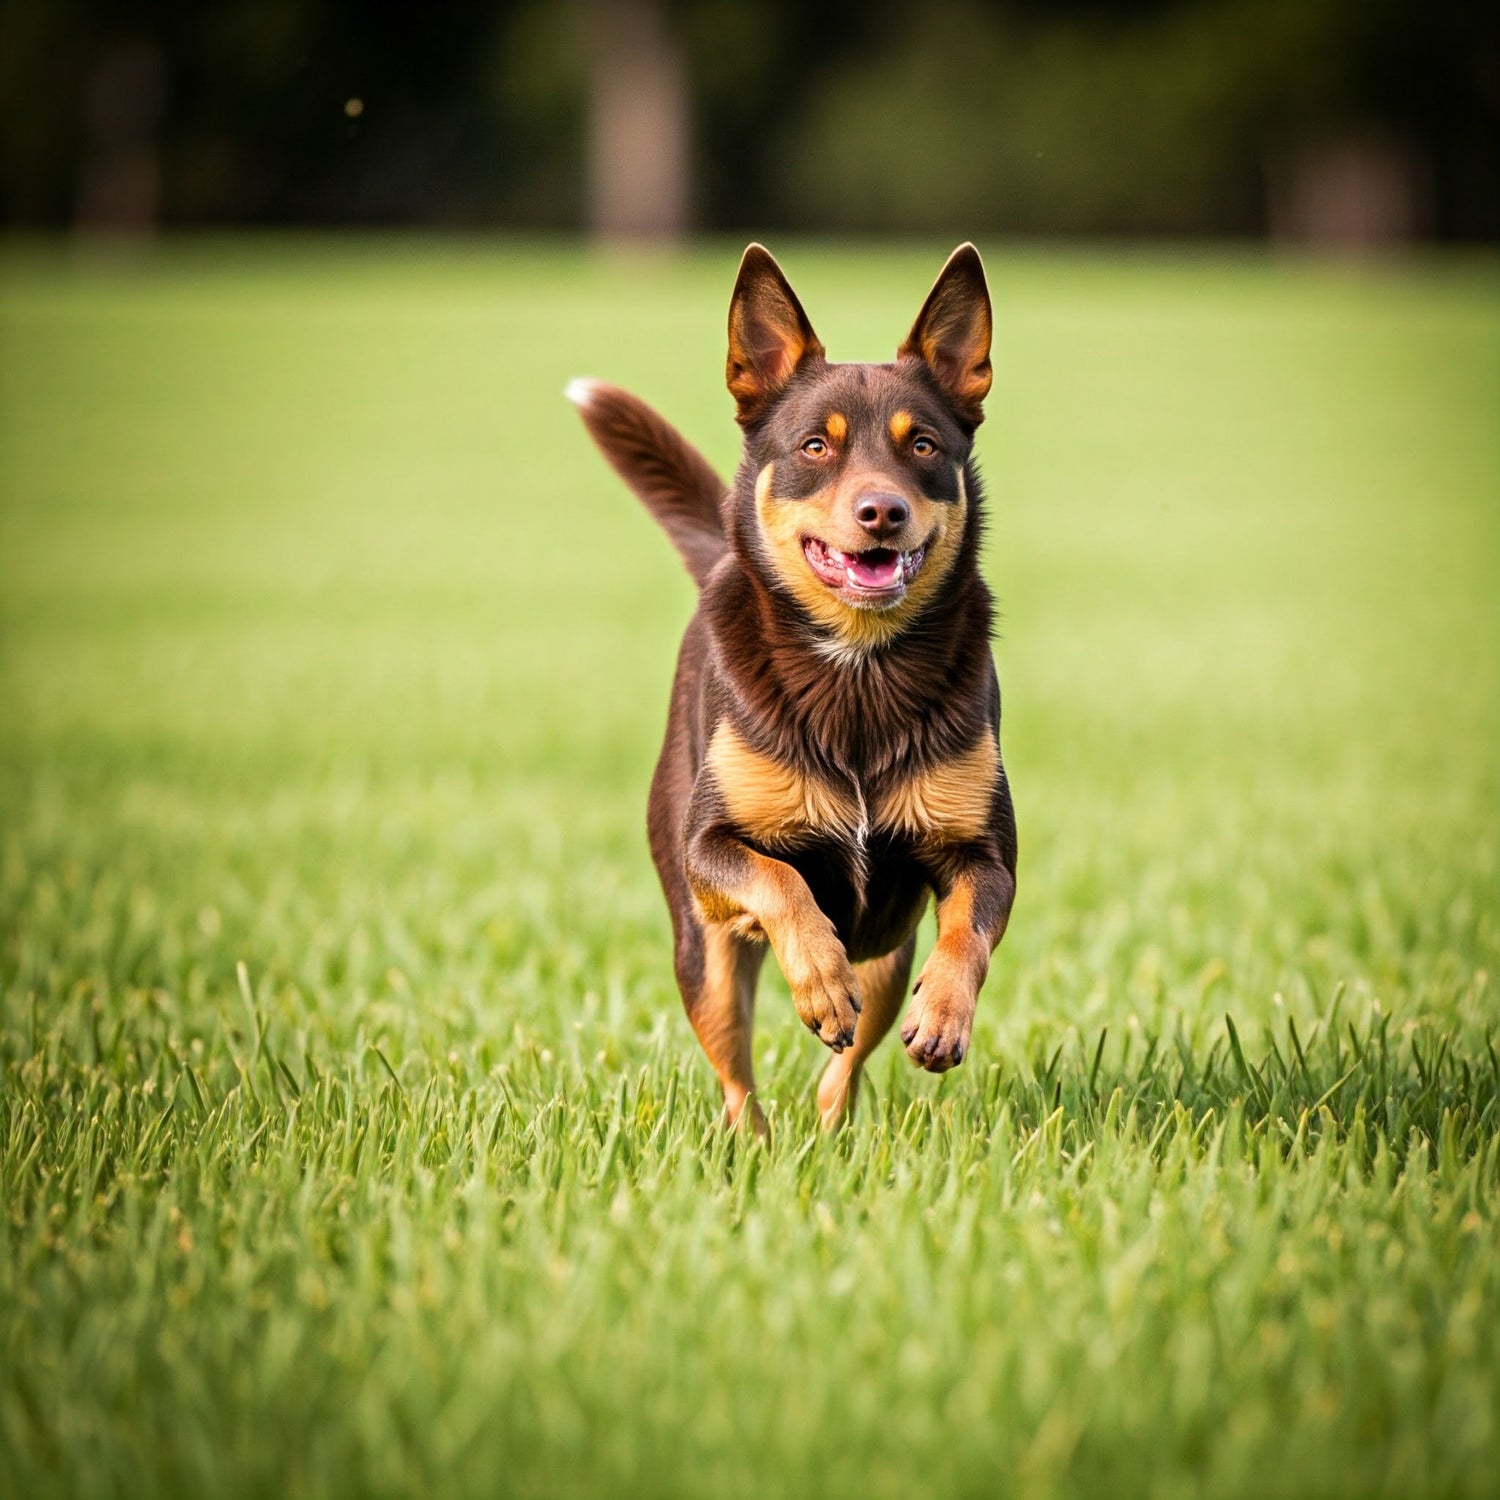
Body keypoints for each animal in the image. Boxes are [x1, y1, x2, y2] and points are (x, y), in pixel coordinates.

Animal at [567, 246, 1014, 1128]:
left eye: (924, 446)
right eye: (814, 446)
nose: (882, 511)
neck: (859, 668)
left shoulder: (984, 851)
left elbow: (969, 932)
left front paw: (944, 1015)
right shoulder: (710, 847)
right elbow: (781, 882)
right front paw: (818, 982)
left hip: (888, 950)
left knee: (851, 1057)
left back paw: (832, 1123)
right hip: (700, 949)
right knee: (735, 1071)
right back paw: (754, 1139)